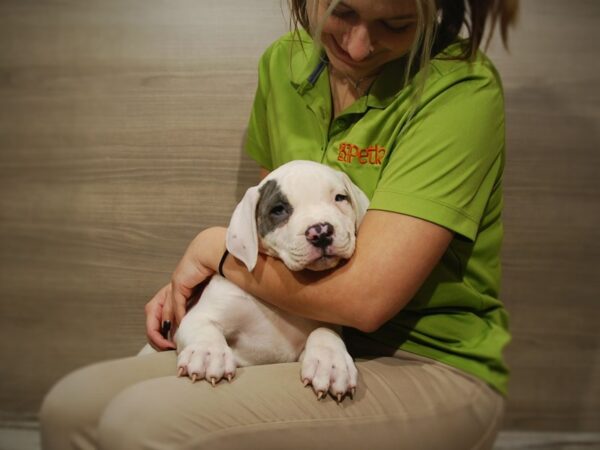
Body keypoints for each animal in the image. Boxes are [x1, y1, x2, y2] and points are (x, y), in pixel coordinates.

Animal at [162, 160, 368, 400]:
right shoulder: (197, 316)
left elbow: (324, 332)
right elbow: (204, 326)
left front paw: (331, 363)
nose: (321, 232)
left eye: (340, 198)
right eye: (278, 210)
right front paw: (207, 352)